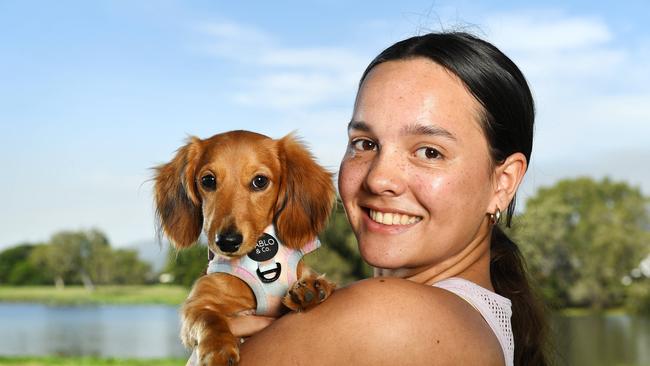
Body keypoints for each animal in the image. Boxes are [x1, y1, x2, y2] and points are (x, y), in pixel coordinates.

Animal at [153, 132, 334, 366]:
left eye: (260, 181)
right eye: (208, 180)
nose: (227, 241)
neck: (259, 260)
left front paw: (309, 288)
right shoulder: (197, 303)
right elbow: (209, 318)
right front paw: (218, 349)